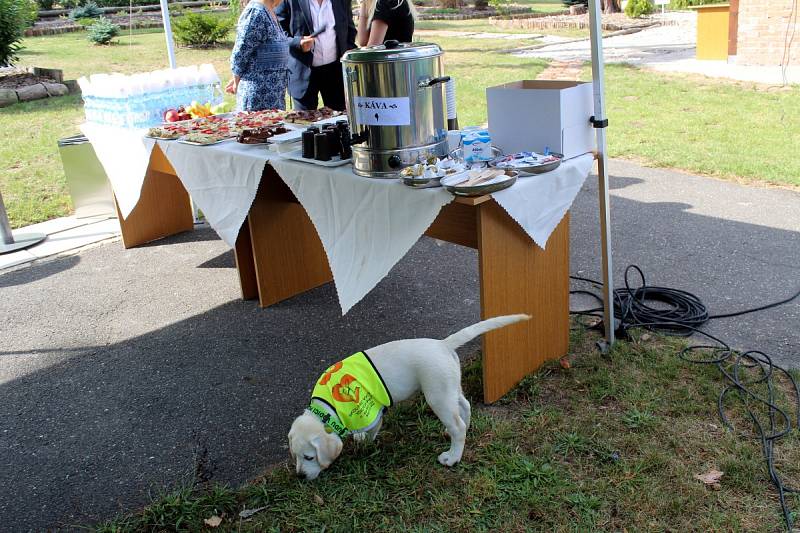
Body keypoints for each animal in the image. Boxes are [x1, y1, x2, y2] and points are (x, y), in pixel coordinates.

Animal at [288, 314, 532, 480]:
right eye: (295, 456)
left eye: (309, 457)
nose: (300, 476)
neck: (327, 407)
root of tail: (443, 344)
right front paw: (358, 436)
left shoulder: (371, 412)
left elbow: (371, 430)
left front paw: (364, 441)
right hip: (450, 387)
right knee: (464, 407)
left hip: (437, 395)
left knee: (458, 426)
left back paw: (452, 456)